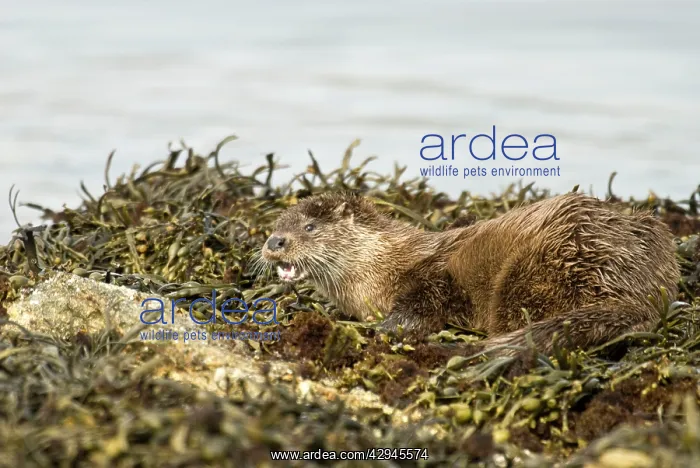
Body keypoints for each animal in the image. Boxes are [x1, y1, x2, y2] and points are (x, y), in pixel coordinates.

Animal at [261, 192, 680, 354]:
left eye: (310, 227)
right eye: (276, 225)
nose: (274, 241)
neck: (379, 268)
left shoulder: (430, 276)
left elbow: (421, 305)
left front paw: (385, 329)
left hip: (534, 269)